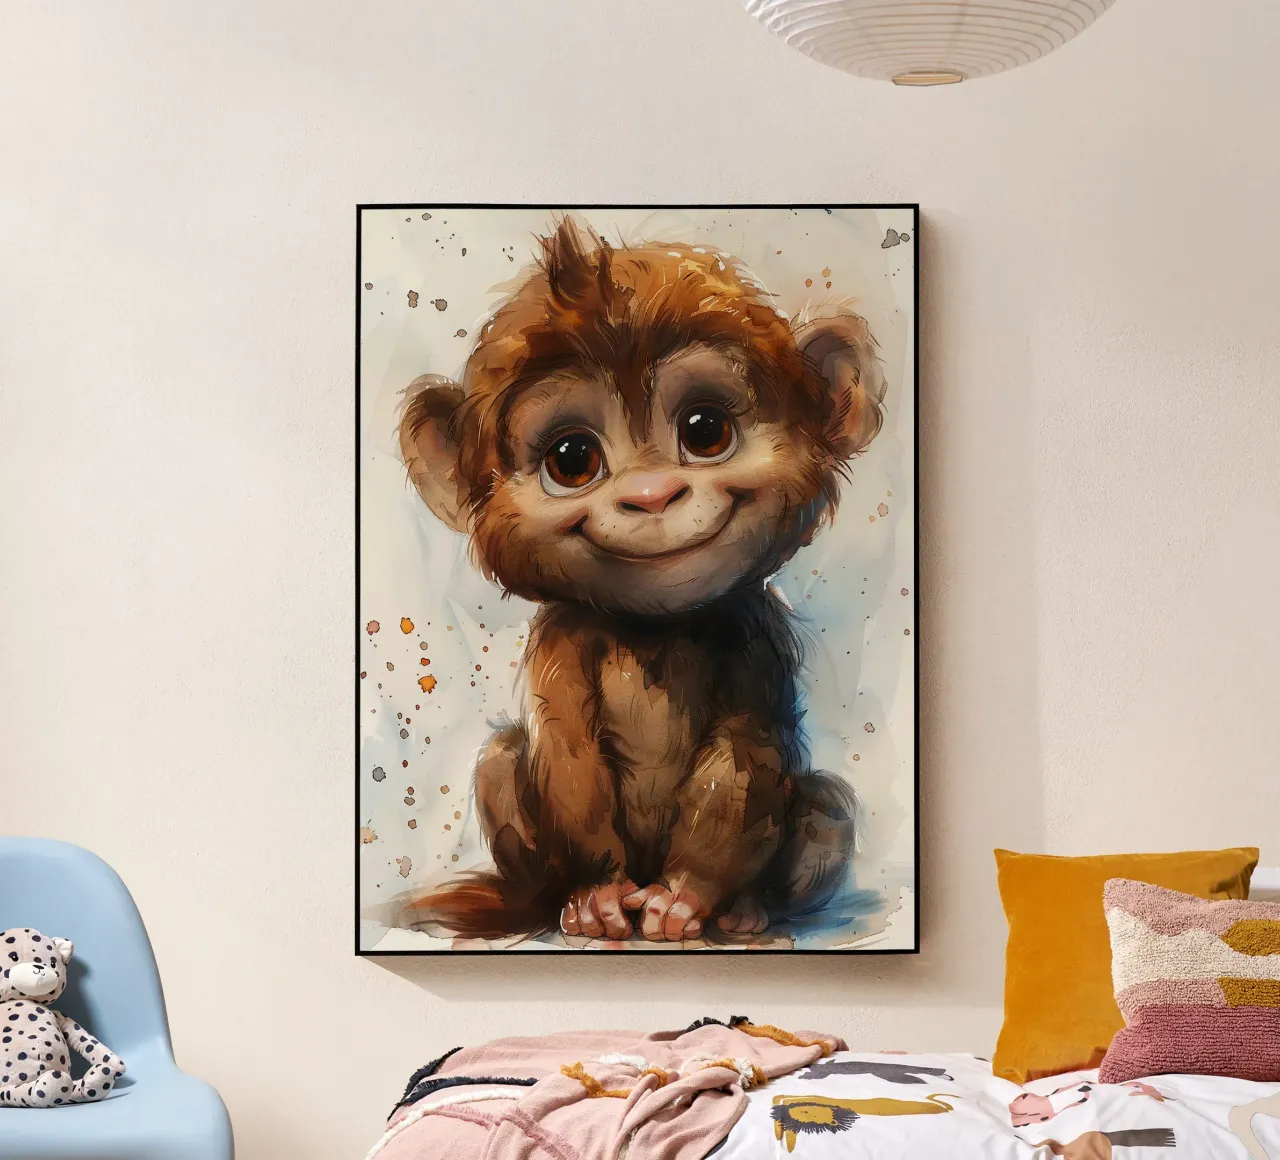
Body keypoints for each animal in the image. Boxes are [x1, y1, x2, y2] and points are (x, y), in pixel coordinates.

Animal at [396, 216, 887, 943]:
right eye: (572, 459)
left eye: (706, 430)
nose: (652, 495)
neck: (652, 628)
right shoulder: (560, 644)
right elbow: (567, 753)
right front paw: (600, 896)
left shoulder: (754, 633)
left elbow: (743, 757)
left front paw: (684, 900)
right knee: (500, 760)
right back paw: (559, 903)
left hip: (819, 820)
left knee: (827, 806)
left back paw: (744, 910)